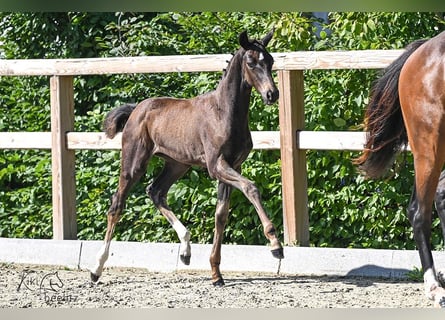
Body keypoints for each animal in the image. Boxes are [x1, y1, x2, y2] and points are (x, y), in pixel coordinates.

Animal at [90, 29, 280, 284]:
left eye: (270, 61)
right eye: (251, 63)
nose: (272, 94)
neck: (224, 113)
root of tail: (136, 110)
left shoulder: (233, 166)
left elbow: (221, 215)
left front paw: (216, 273)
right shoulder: (216, 165)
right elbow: (251, 188)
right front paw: (275, 244)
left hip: (177, 164)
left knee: (156, 191)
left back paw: (186, 249)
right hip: (134, 163)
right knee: (117, 205)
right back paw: (96, 268)